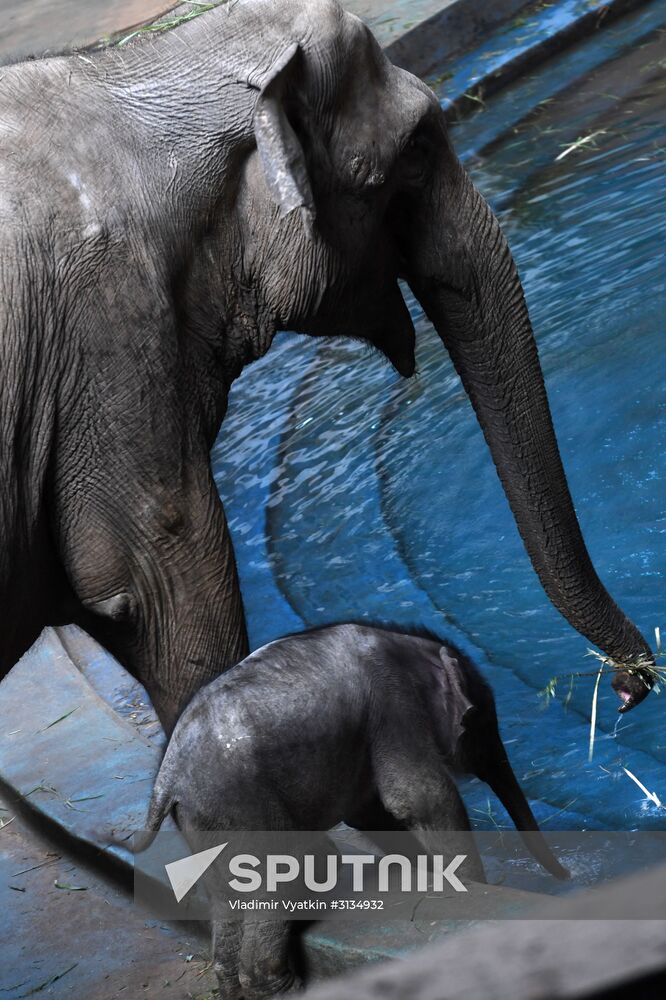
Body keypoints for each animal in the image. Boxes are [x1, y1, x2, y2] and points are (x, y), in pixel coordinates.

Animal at [133, 623, 569, 998]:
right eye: (477, 720)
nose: (567, 877)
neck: (409, 642)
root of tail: (166, 779)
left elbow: (373, 812)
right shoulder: (393, 703)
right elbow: (419, 796)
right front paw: (472, 888)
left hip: (205, 818)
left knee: (226, 898)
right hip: (239, 802)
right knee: (286, 869)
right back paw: (291, 990)